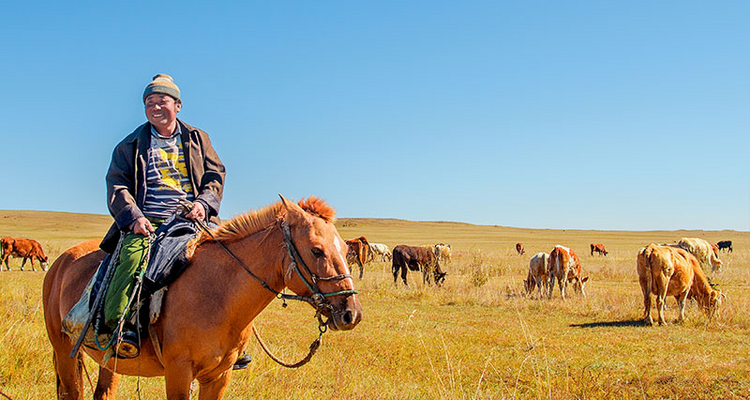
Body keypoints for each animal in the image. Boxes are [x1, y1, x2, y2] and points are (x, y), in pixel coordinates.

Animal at [42, 195, 366, 398]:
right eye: (316, 250)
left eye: (345, 249)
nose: (351, 313)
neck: (219, 296)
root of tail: (60, 263)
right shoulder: (178, 373)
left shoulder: (219, 376)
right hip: (63, 349)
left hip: (110, 361)